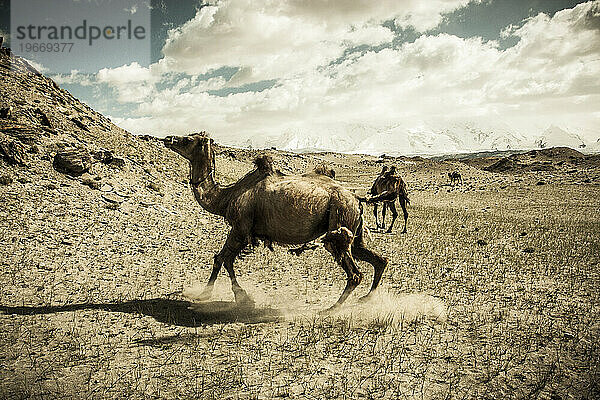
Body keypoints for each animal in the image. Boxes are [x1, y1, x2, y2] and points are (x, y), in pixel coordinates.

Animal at [164, 133, 390, 310]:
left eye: (188, 139)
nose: (168, 138)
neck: (226, 197)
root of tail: (356, 198)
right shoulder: (241, 230)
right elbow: (221, 258)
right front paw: (209, 294)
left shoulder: (240, 228)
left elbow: (224, 259)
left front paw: (236, 297)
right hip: (353, 228)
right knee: (377, 258)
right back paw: (367, 298)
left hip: (340, 220)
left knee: (354, 272)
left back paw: (331, 309)